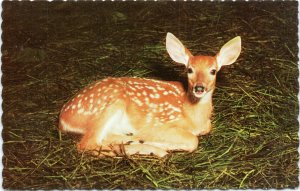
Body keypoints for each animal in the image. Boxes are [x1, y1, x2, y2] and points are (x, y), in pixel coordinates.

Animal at [58, 32, 241, 157]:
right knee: (87, 144)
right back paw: (154, 149)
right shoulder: (160, 124)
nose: (199, 88)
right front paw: (161, 143)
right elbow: (193, 140)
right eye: (189, 70)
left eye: (213, 71)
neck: (191, 114)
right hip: (110, 103)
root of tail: (63, 118)